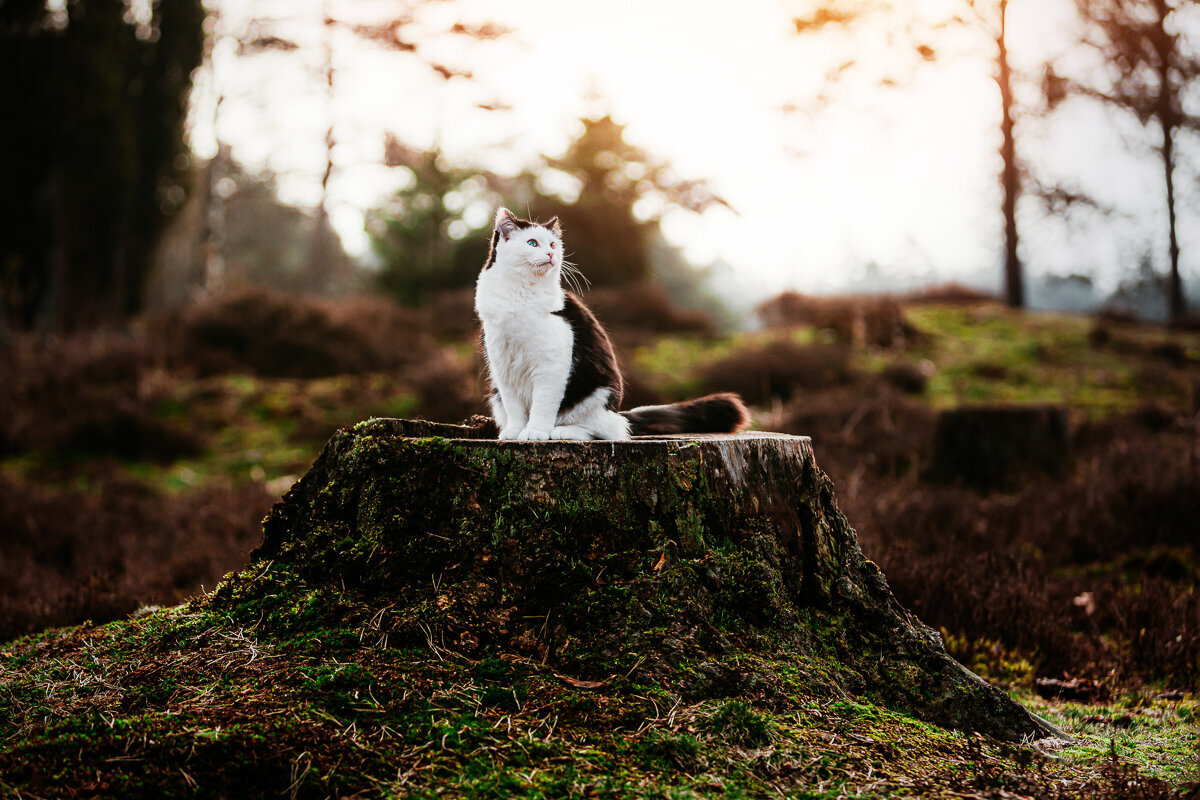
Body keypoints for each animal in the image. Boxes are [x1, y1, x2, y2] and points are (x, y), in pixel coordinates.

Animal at [470, 206, 744, 441]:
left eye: (553, 244)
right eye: (532, 243)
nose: (550, 254)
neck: (520, 294)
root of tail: (616, 411)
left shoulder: (551, 366)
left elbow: (542, 406)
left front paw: (535, 432)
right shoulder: (503, 367)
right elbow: (515, 408)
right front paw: (515, 432)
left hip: (598, 393)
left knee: (604, 430)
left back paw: (559, 431)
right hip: (496, 394)